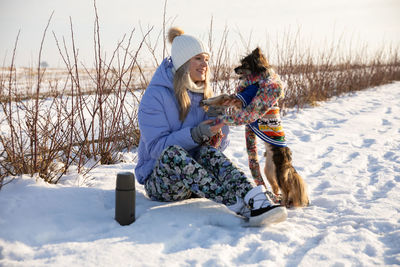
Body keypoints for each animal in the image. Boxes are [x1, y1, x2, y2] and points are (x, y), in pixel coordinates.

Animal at [203, 48, 310, 208]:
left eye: (245, 64)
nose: (234, 69)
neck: (257, 79)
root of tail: (288, 161)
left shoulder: (240, 100)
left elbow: (223, 96)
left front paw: (208, 102)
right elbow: (222, 95)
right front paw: (207, 101)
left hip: (279, 174)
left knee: (285, 191)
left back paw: (283, 203)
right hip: (268, 171)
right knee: (276, 188)